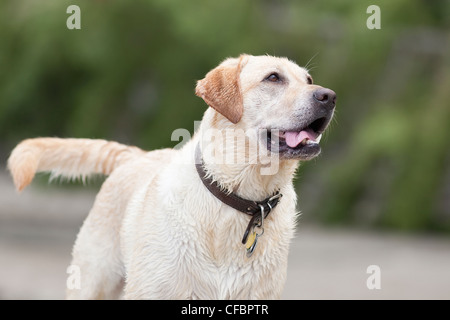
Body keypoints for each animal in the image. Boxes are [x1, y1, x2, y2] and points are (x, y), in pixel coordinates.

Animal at [7, 53, 334, 298]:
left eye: (308, 80)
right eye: (273, 78)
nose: (329, 96)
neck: (239, 197)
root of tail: (137, 155)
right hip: (93, 282)